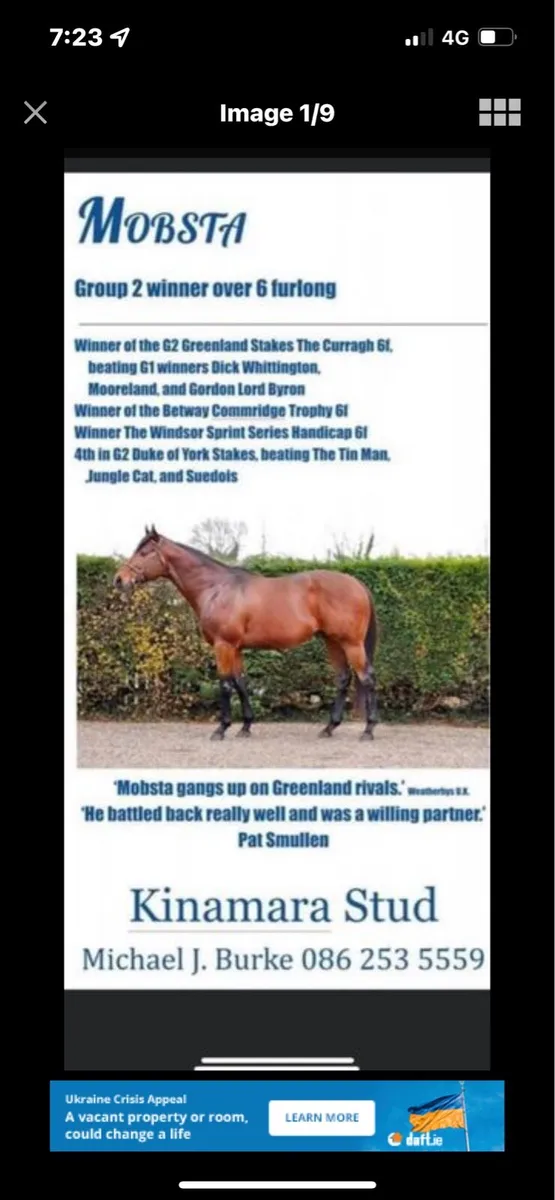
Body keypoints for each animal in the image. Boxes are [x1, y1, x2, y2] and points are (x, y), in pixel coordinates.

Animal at [113, 526, 378, 741]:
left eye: (145, 552)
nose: (119, 579)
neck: (216, 588)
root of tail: (357, 584)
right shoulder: (236, 648)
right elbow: (240, 683)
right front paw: (245, 727)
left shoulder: (223, 645)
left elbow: (224, 684)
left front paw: (221, 729)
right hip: (332, 641)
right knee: (343, 678)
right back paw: (329, 728)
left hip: (351, 643)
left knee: (366, 678)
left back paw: (368, 730)